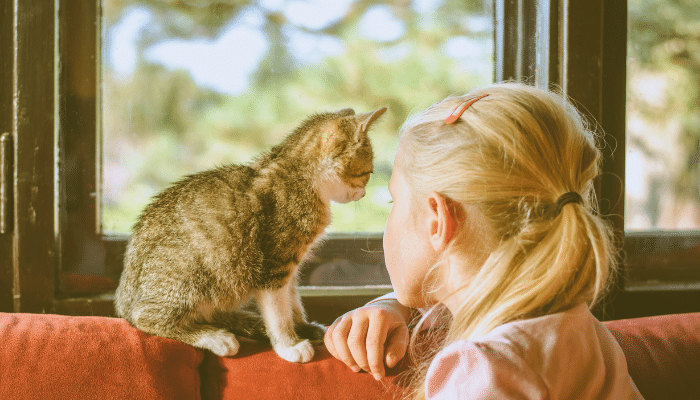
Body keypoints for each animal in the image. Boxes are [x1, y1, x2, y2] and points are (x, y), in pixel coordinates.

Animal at [116, 106, 388, 362]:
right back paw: (214, 337)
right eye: (368, 173)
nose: (364, 193)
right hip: (191, 274)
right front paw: (289, 345)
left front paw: (300, 326)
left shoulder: (289, 268)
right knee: (146, 317)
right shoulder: (273, 265)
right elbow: (278, 312)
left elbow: (292, 300)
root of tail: (124, 297)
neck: (299, 174)